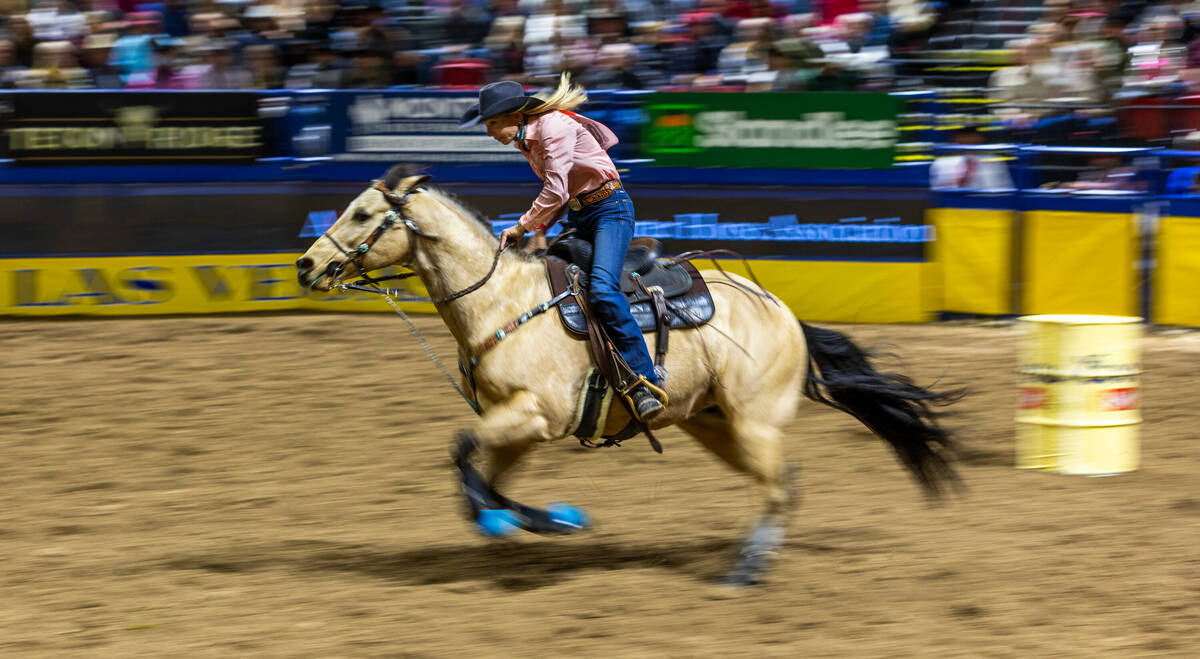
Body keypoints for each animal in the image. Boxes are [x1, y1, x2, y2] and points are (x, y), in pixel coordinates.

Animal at [295, 165, 960, 585]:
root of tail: (785, 312)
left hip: (755, 422)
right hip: (717, 425)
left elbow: (461, 453)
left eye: (362, 213)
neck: (500, 303)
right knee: (782, 483)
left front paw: (507, 519)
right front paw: (549, 520)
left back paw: (744, 571)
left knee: (777, 485)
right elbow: (488, 475)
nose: (305, 264)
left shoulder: (535, 415)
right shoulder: (519, 426)